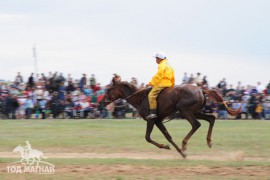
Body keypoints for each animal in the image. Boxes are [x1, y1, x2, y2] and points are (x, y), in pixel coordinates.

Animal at [99, 81, 240, 158]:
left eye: (109, 88)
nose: (102, 101)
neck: (140, 98)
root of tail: (201, 90)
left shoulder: (151, 120)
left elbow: (148, 137)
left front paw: (167, 147)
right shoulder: (158, 121)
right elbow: (168, 136)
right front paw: (180, 153)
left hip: (185, 111)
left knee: (196, 124)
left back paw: (184, 144)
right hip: (196, 111)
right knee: (211, 118)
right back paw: (209, 142)